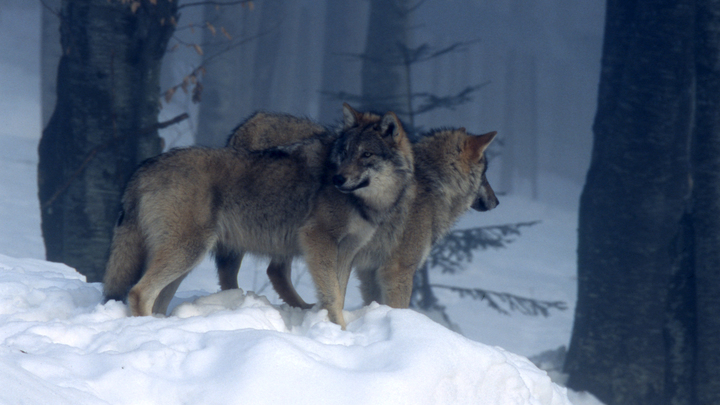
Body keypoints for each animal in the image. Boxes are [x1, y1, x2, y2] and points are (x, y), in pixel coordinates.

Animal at [103, 104, 414, 328]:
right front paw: (340, 333)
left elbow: (338, 294)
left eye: (367, 155)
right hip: (187, 252)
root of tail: (143, 168)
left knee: (157, 298)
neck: (367, 203)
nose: (338, 178)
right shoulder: (318, 241)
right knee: (138, 292)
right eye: (346, 152)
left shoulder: (346, 252)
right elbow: (333, 296)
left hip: (185, 259)